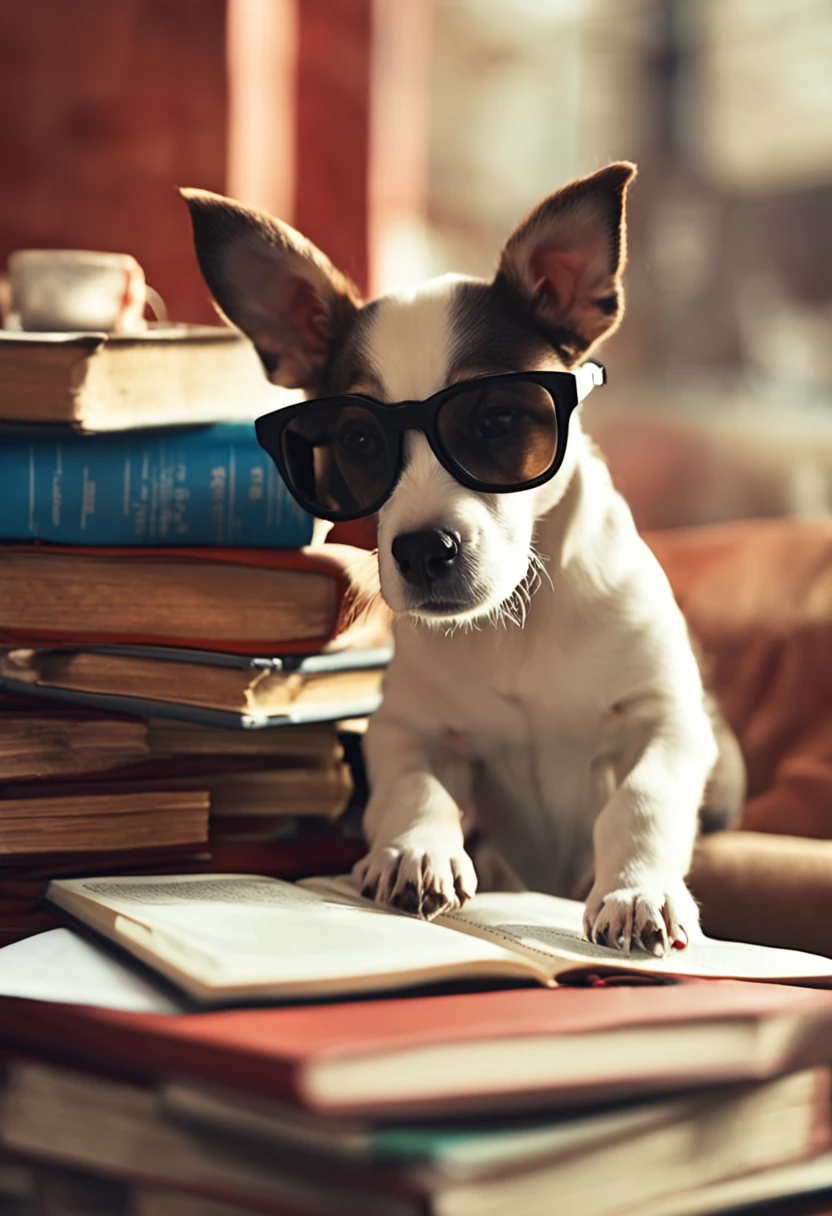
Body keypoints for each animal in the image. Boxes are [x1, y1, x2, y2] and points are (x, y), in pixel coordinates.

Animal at [184, 164, 739, 958]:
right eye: (358, 441)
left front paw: (637, 892)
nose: (422, 550)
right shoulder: (403, 730)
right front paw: (415, 851)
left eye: (497, 419)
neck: (517, 626)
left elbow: (642, 799)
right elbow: (416, 788)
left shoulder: (669, 722)